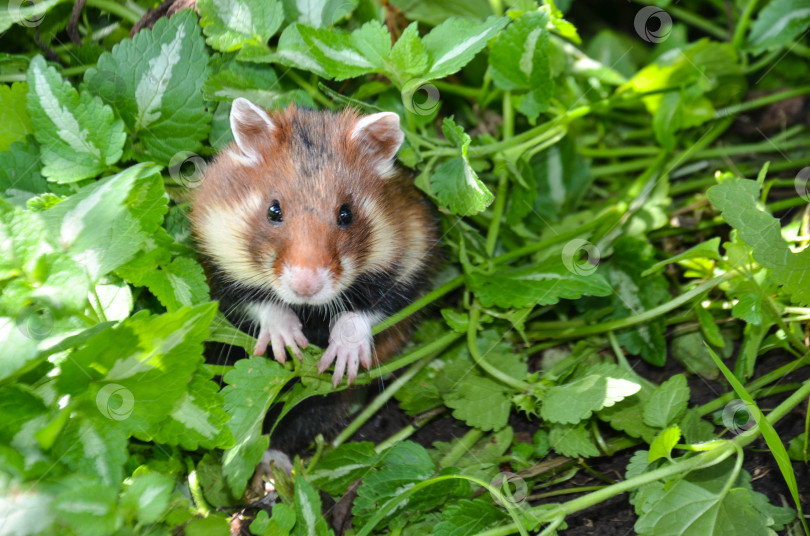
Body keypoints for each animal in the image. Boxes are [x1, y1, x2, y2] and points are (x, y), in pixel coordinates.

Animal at [189, 99, 438, 386]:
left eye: (346, 214)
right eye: (273, 210)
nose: (305, 288)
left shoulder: (411, 265)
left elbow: (367, 311)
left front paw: (341, 367)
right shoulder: (219, 266)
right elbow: (260, 303)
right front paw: (289, 347)